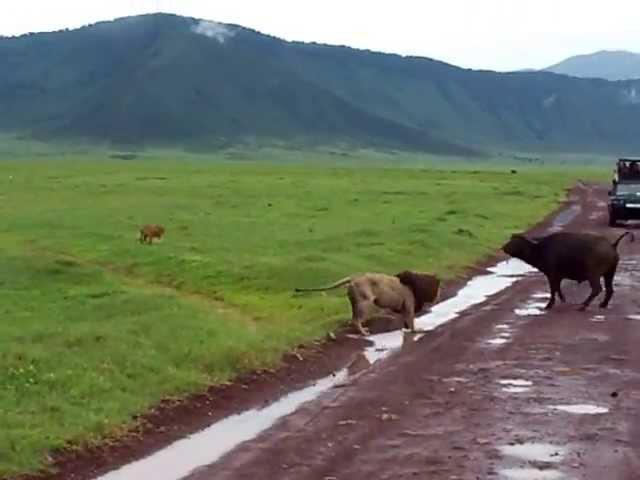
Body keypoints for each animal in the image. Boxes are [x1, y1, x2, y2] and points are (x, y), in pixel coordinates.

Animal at [294, 272, 440, 336]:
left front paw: (407, 327)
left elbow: (407, 319)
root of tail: (353, 278)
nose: (438, 294)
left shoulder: (405, 306)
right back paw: (364, 332)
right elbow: (411, 319)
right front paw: (416, 330)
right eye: (437, 287)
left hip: (356, 302)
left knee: (353, 318)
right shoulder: (408, 304)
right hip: (367, 303)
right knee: (355, 320)